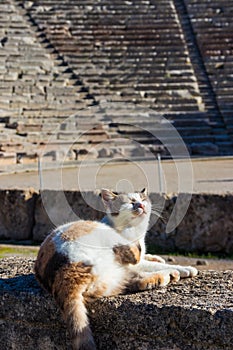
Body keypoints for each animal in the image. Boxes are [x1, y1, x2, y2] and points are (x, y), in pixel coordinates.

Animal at [35, 189, 198, 350]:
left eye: (143, 199)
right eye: (131, 202)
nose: (141, 205)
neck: (135, 232)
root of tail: (62, 273)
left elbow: (149, 258)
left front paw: (156, 257)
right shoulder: (132, 259)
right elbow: (149, 261)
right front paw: (186, 268)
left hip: (108, 280)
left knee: (135, 281)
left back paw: (167, 276)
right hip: (101, 237)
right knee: (134, 258)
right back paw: (166, 270)